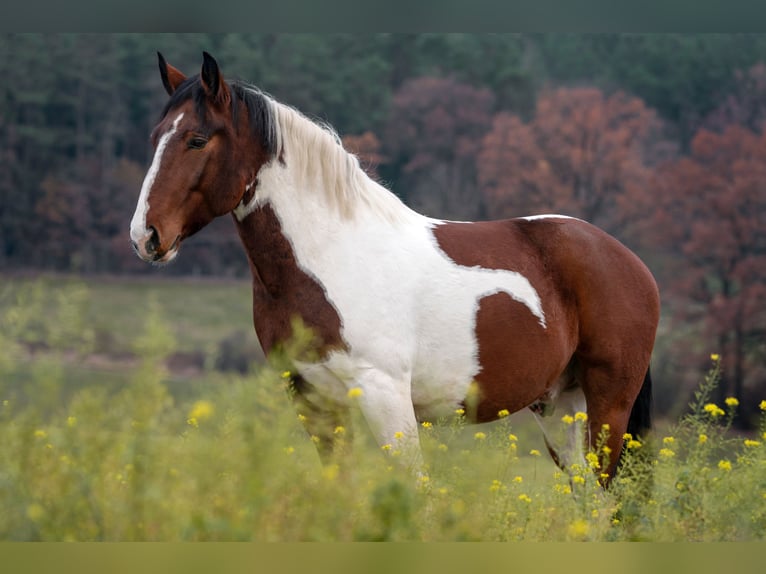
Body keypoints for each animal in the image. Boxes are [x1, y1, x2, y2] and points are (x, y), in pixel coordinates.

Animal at [130, 53, 660, 482]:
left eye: (197, 139)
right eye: (156, 137)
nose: (145, 236)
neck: (332, 258)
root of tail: (630, 261)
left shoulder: (385, 398)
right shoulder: (314, 402)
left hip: (609, 405)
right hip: (558, 404)